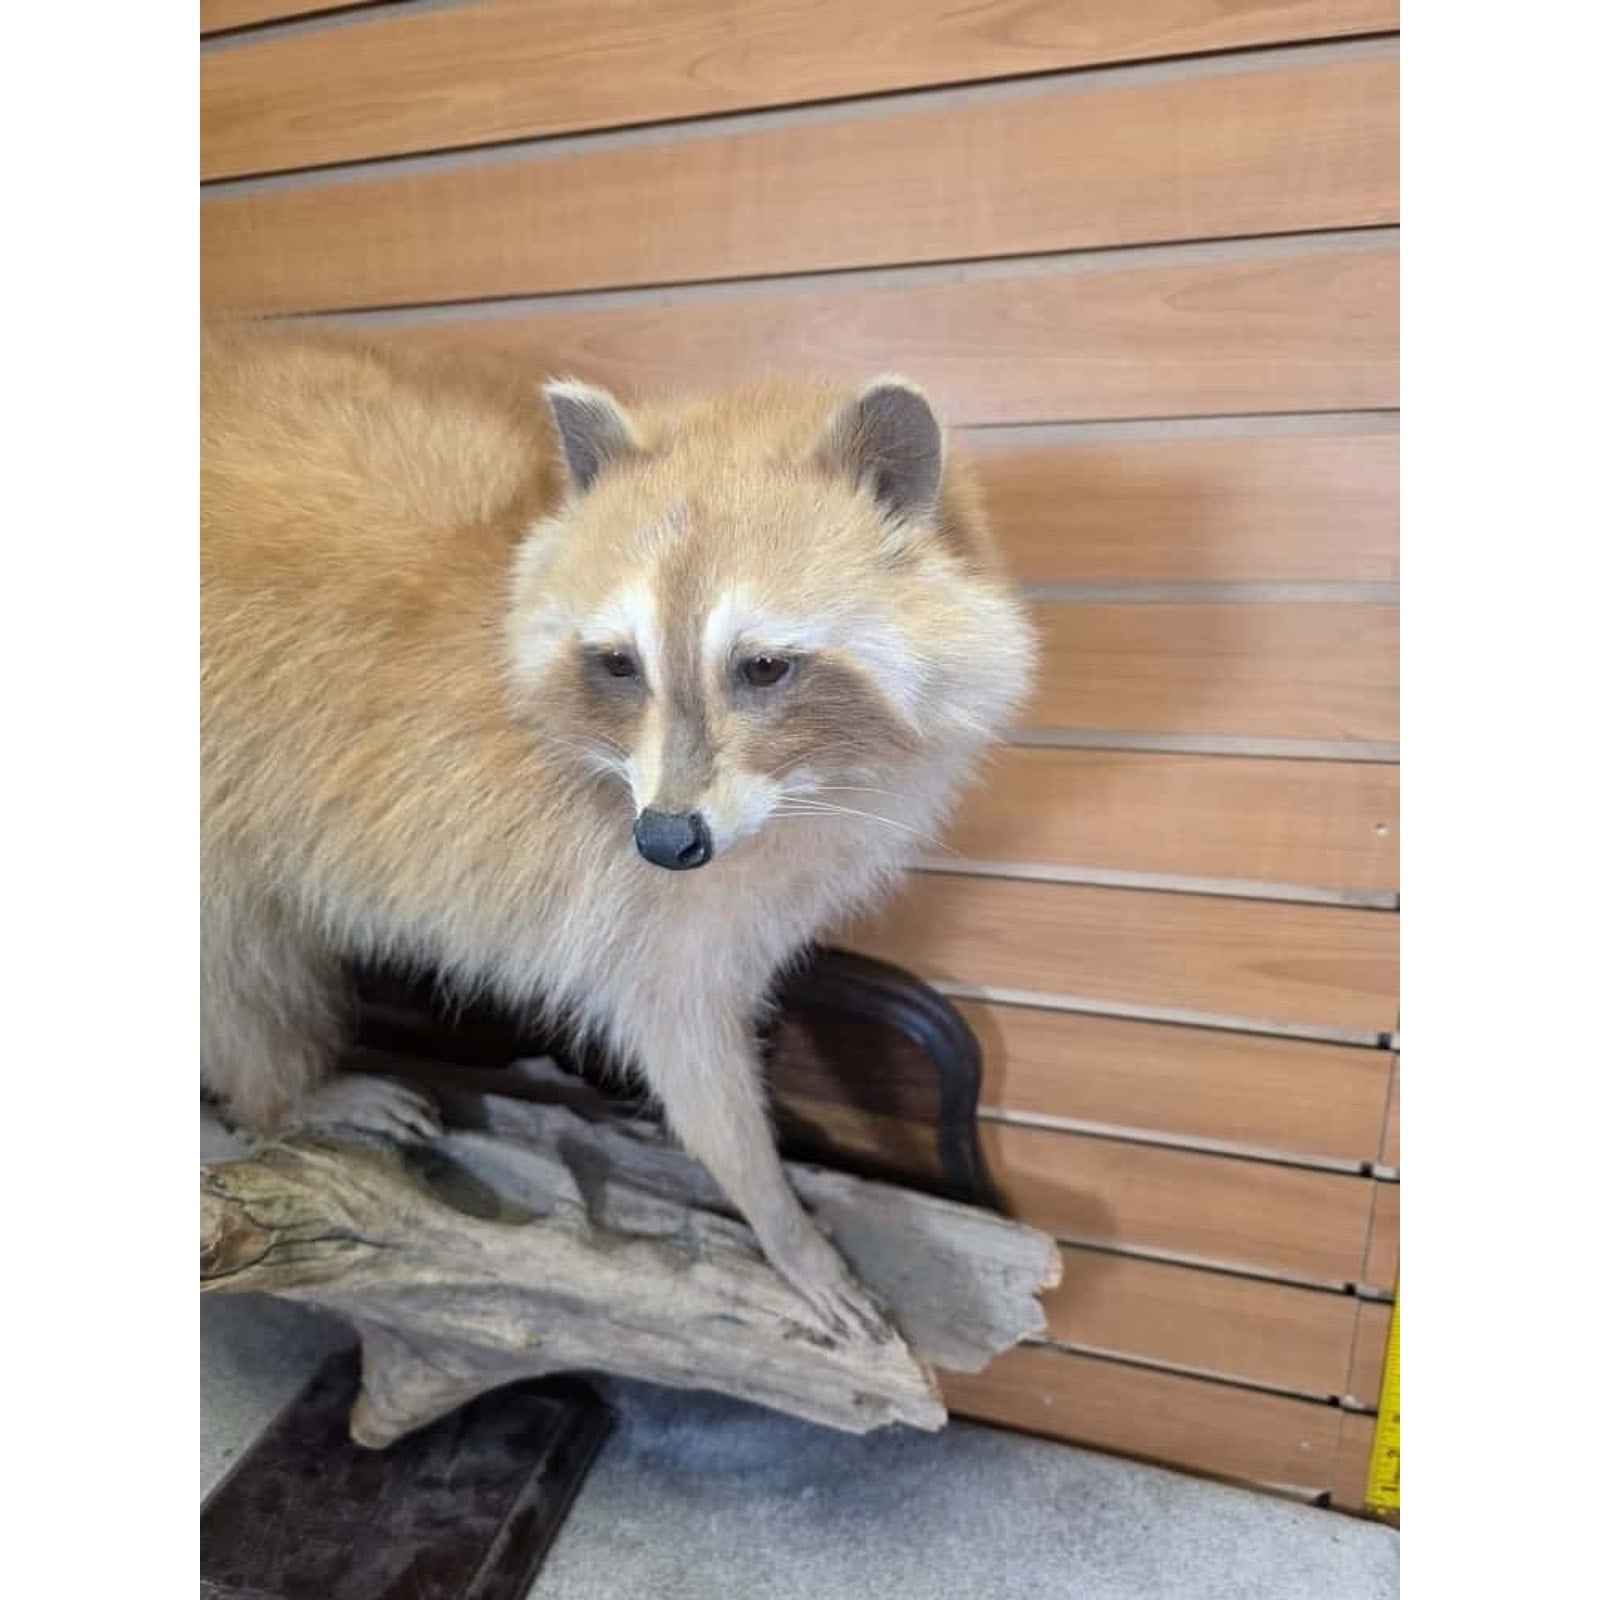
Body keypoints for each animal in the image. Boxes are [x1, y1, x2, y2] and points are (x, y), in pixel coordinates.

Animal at [201, 327, 1035, 1336]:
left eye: (764, 668)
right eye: (618, 665)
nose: (667, 842)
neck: (801, 791)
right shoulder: (638, 906)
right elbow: (686, 1051)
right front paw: (779, 1221)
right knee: (240, 972)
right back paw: (288, 1094)